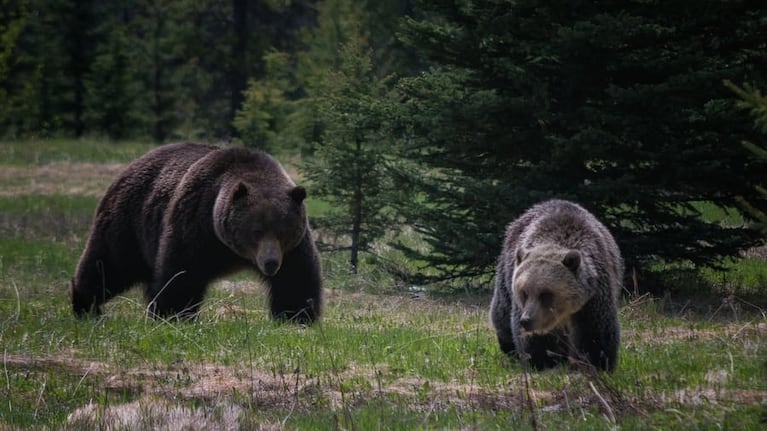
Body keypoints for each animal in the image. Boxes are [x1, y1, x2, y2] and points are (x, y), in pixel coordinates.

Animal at [71, 143, 320, 322]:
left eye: (283, 231)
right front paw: (174, 314)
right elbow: (181, 273)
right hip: (129, 222)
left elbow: (296, 278)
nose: (270, 263)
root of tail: (130, 166)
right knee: (108, 265)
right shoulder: (196, 222)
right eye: (256, 231)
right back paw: (85, 306)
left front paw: (297, 316)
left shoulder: (293, 248)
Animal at [492, 199, 624, 372]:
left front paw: (596, 363)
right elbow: (536, 340)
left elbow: (596, 332)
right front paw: (542, 361)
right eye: (524, 292)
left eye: (546, 294)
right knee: (502, 312)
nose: (526, 320)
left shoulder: (594, 296)